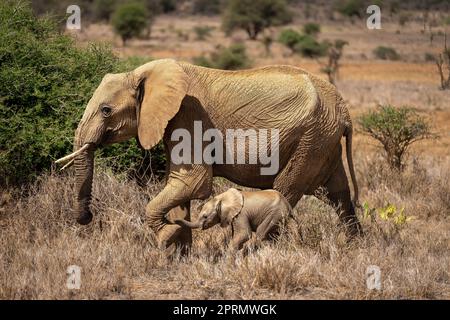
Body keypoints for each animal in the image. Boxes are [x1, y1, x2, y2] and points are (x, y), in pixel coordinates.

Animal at [55, 58, 362, 252]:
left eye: (106, 110)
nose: (86, 219)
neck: (145, 72)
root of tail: (345, 111)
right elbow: (178, 185)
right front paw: (178, 255)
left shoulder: (189, 114)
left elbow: (193, 183)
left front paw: (166, 236)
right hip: (322, 140)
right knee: (339, 194)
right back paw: (355, 245)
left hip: (310, 140)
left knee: (286, 189)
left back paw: (265, 249)